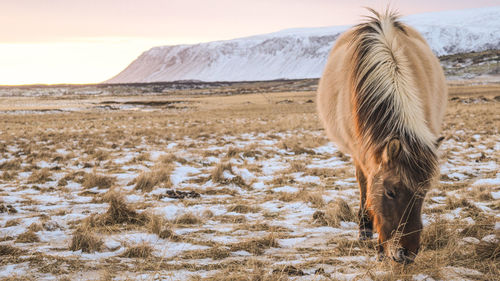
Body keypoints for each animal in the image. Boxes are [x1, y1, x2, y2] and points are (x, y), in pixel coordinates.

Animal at [318, 8, 448, 262]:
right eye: (390, 192)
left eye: (424, 192)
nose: (406, 254)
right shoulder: (361, 153)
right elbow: (369, 189)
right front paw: (376, 243)